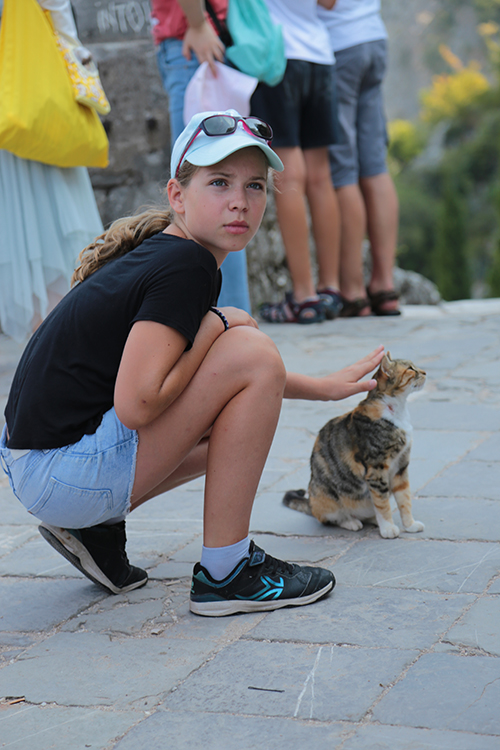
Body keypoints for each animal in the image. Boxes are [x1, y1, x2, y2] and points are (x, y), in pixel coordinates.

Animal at [286, 354, 426, 540]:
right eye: (411, 369)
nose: (425, 372)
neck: (398, 411)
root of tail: (310, 502)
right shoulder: (376, 470)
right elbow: (382, 503)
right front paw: (388, 528)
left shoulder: (401, 467)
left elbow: (404, 499)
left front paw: (410, 525)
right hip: (325, 496)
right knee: (329, 518)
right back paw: (351, 522)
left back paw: (373, 520)